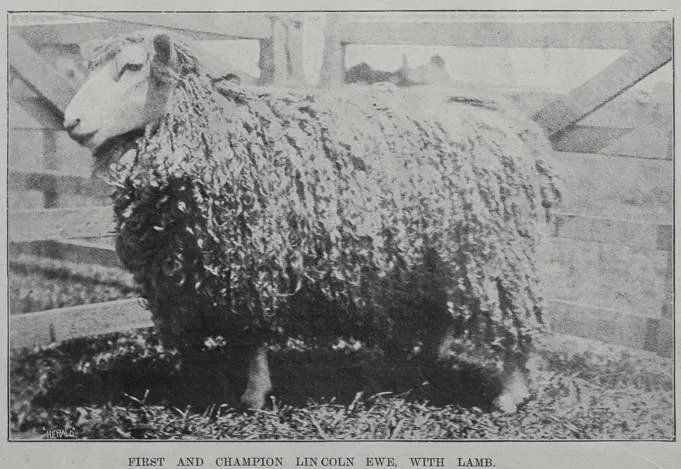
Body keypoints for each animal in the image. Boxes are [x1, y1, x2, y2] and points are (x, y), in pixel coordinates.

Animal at [63, 30, 560, 412]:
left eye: (132, 68)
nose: (71, 121)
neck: (219, 138)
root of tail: (511, 122)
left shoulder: (251, 263)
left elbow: (253, 340)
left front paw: (253, 396)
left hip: (495, 254)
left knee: (515, 320)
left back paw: (510, 395)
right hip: (434, 258)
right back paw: (415, 370)